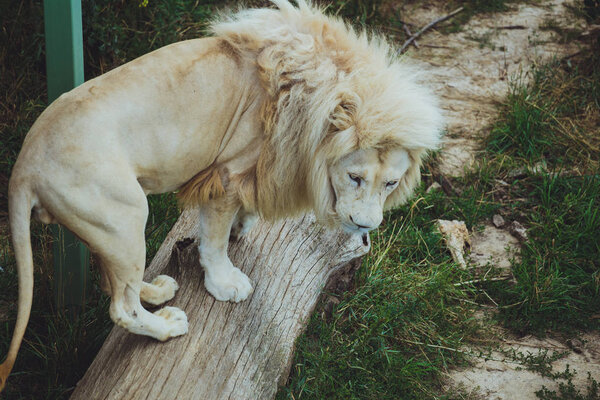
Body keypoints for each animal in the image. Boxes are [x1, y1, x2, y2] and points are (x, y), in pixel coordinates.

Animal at [0, 0, 440, 388]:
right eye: (354, 177)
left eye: (390, 183)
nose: (366, 226)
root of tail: (24, 167)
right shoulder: (225, 175)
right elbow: (212, 241)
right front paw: (225, 282)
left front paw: (242, 226)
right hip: (125, 214)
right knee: (121, 306)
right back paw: (166, 325)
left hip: (107, 227)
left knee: (115, 282)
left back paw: (157, 290)